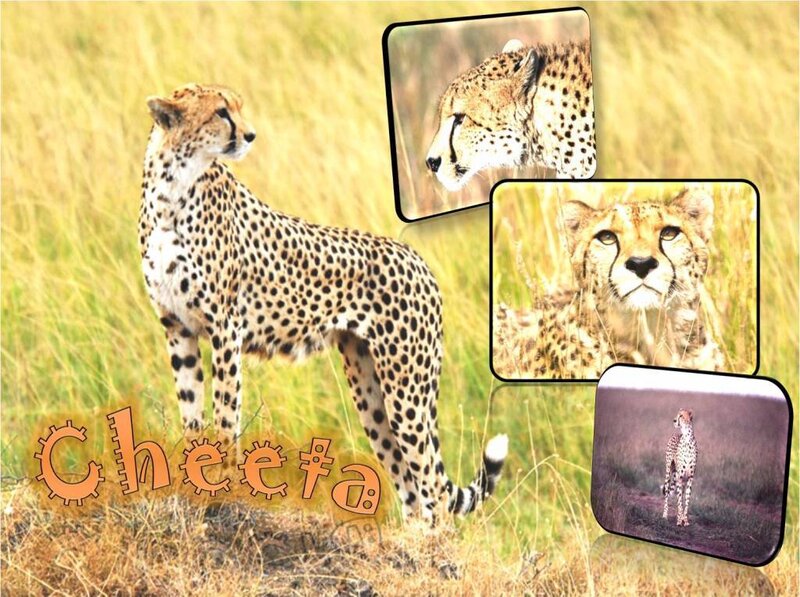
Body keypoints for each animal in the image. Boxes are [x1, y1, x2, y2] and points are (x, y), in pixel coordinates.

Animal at [138, 83, 507, 520]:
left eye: (237, 108)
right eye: (221, 113)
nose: (250, 136)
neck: (173, 188)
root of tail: (417, 258)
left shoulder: (224, 329)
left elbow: (226, 413)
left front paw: (220, 485)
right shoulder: (177, 328)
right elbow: (191, 411)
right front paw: (194, 479)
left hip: (406, 391)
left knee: (432, 485)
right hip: (370, 390)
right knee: (412, 488)